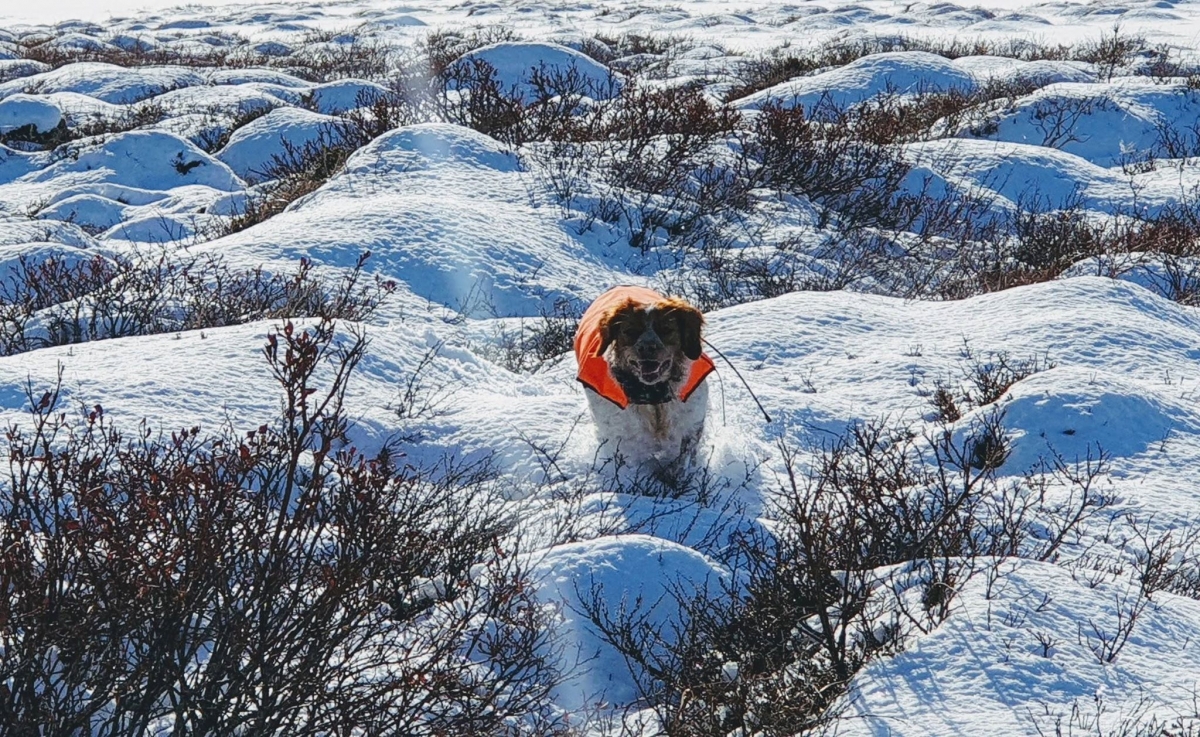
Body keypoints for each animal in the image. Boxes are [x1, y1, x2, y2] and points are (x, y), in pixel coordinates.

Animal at [573, 285, 710, 477]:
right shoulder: (626, 439)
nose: (647, 347)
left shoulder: (689, 426)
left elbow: (682, 461)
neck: (653, 396)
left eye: (666, 330)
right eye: (630, 331)